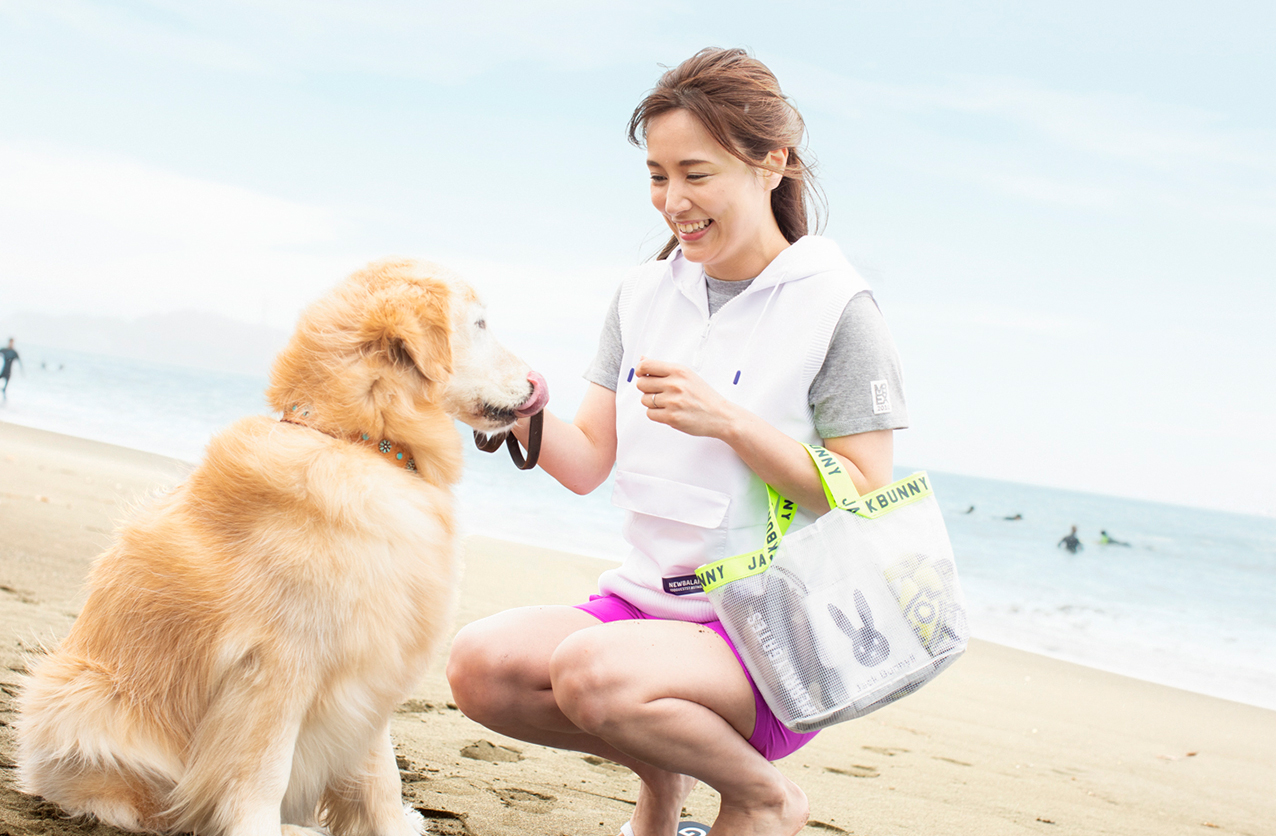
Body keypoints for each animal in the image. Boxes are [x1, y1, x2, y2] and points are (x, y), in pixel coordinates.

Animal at [12, 260, 548, 836]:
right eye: (480, 324)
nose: (537, 382)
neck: (360, 442)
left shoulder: (371, 666)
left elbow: (380, 774)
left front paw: (389, 825)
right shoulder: (278, 664)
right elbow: (264, 767)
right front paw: (260, 826)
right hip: (83, 694)